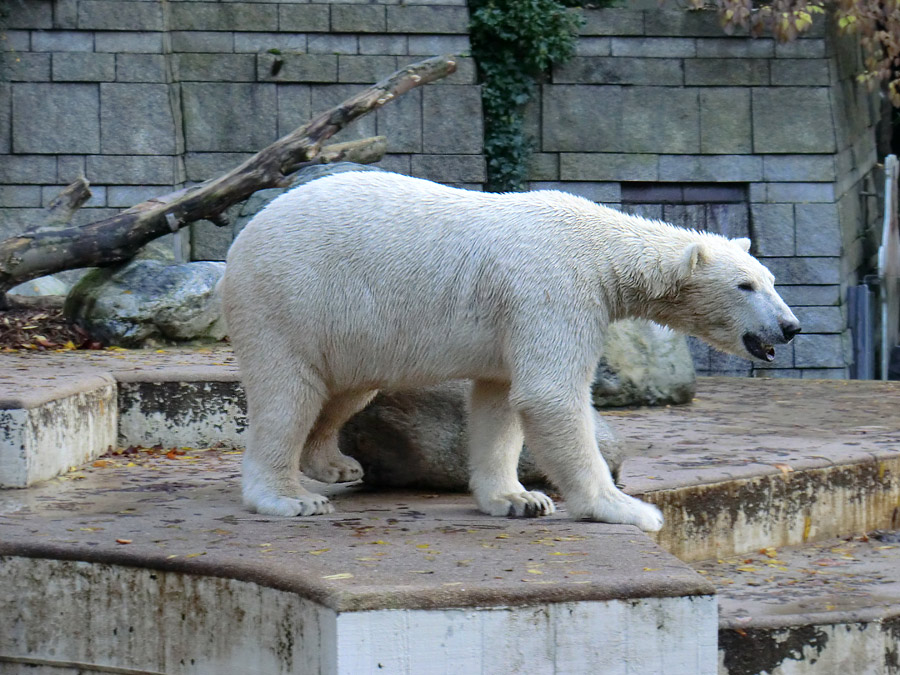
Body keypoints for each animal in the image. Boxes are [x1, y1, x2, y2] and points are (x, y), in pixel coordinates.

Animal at [221, 172, 800, 532]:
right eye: (746, 285)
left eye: (771, 280)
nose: (790, 326)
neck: (599, 246)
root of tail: (244, 237)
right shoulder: (554, 290)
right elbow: (549, 396)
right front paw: (624, 509)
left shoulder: (512, 318)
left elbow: (500, 402)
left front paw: (520, 499)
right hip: (289, 297)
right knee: (289, 393)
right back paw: (289, 497)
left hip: (348, 326)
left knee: (346, 388)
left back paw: (332, 463)